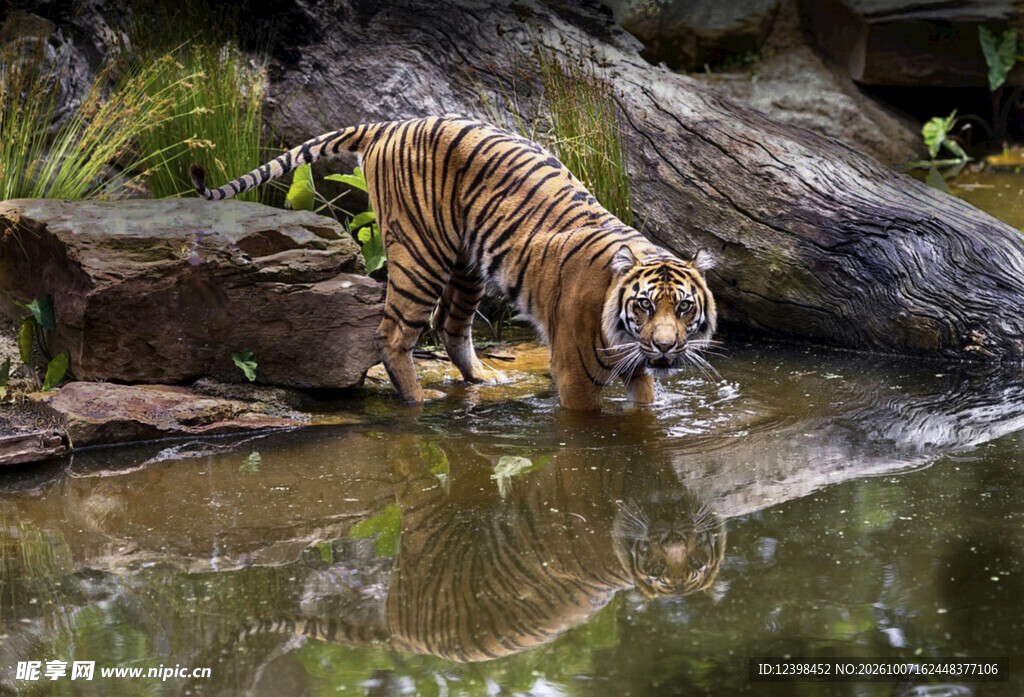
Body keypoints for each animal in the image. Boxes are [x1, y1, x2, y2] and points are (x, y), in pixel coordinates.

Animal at [190, 115, 717, 410]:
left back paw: (483, 378)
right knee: (393, 334)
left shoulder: (637, 368)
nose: (666, 347)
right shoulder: (574, 373)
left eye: (684, 308)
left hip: (468, 264)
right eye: (644, 306)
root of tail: (389, 124)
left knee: (449, 325)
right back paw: (417, 402)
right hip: (420, 256)